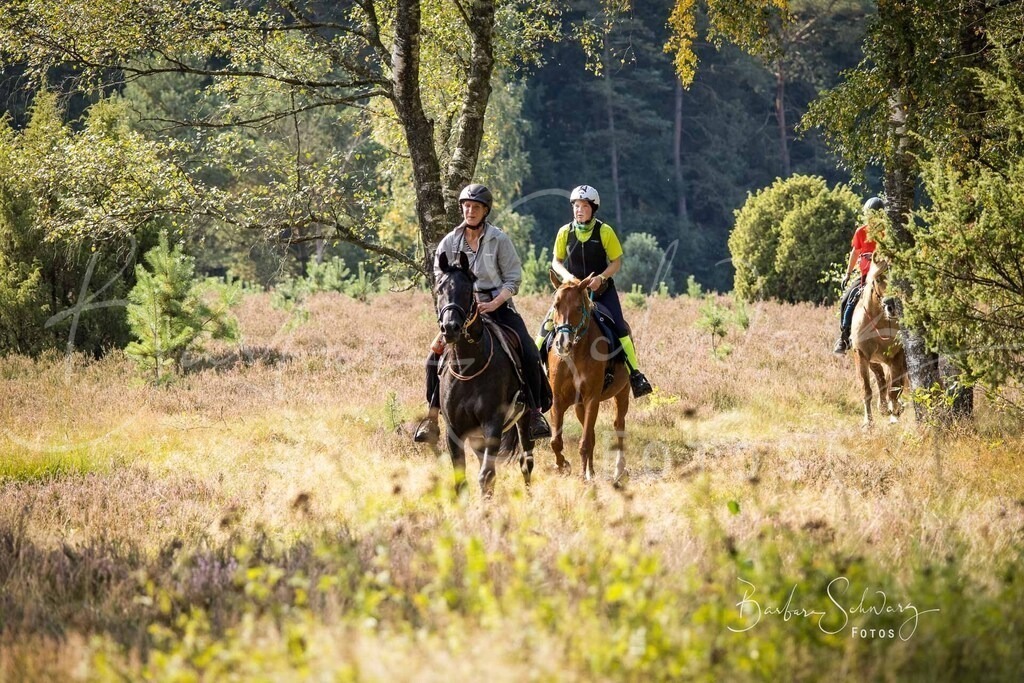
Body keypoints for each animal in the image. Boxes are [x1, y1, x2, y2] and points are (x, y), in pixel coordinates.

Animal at [434, 250, 534, 496]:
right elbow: (461, 480)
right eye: (440, 288)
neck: (468, 366)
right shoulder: (454, 430)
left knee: (526, 462)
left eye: (467, 290)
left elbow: (486, 476)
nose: (450, 327)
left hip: (523, 419)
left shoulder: (492, 424)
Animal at [544, 272, 630, 484]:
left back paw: (618, 469)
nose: (562, 343)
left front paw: (583, 476)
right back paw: (591, 470)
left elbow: (584, 442)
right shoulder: (559, 400)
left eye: (577, 308)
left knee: (619, 425)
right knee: (590, 433)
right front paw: (563, 465)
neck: (575, 354)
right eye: (556, 305)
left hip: (622, 393)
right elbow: (556, 441)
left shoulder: (592, 398)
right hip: (579, 405)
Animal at [850, 259, 908, 426]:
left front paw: (894, 414)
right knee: (881, 379)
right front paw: (868, 423)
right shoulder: (862, 354)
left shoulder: (897, 355)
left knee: (893, 383)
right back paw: (883, 407)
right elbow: (866, 389)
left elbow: (894, 388)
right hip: (874, 361)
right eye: (878, 279)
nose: (891, 305)